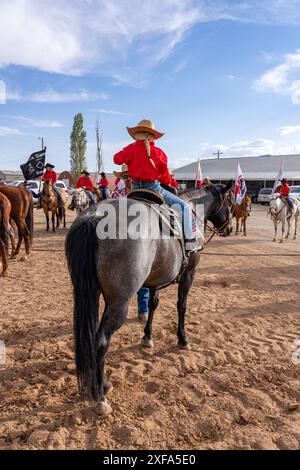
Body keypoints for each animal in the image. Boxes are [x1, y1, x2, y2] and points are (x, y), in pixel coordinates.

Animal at [66, 182, 234, 414]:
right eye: (230, 202)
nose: (229, 228)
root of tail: (96, 217)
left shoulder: (156, 279)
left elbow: (153, 305)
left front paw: (147, 337)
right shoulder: (189, 274)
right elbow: (181, 305)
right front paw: (183, 339)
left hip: (88, 293)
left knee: (91, 339)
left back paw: (102, 384)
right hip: (118, 303)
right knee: (101, 341)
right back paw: (100, 396)